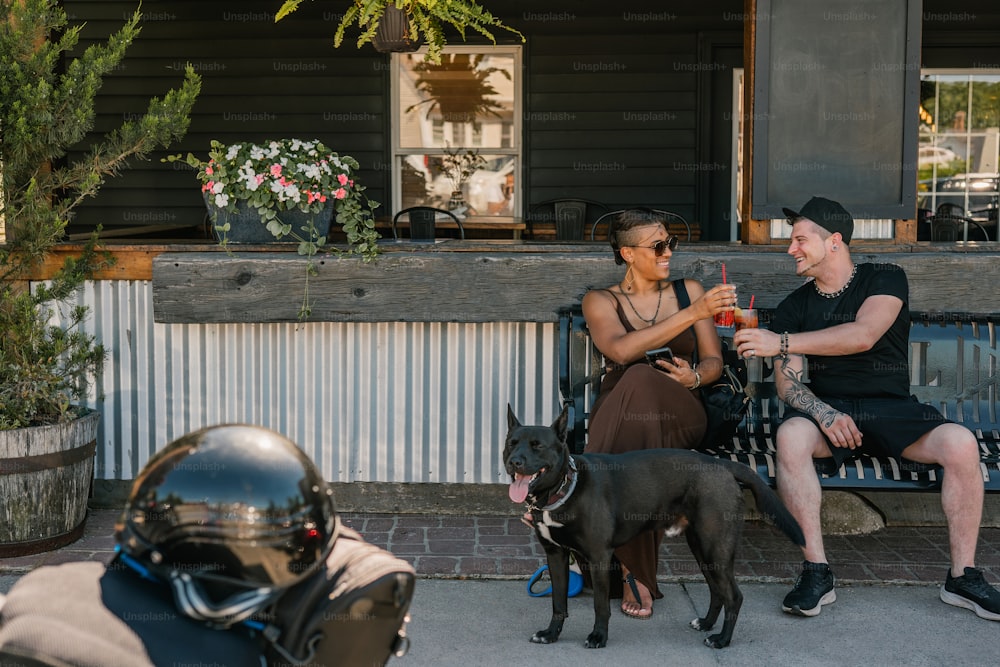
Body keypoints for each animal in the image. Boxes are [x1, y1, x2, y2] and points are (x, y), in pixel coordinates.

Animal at [504, 404, 808, 648]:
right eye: (511, 442)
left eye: (537, 445)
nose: (513, 461)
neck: (563, 490)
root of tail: (721, 464)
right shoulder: (555, 555)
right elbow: (558, 602)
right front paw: (551, 634)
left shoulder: (599, 557)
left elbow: (601, 605)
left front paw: (598, 637)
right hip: (702, 549)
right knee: (716, 591)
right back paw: (706, 624)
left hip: (715, 548)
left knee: (733, 596)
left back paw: (722, 640)